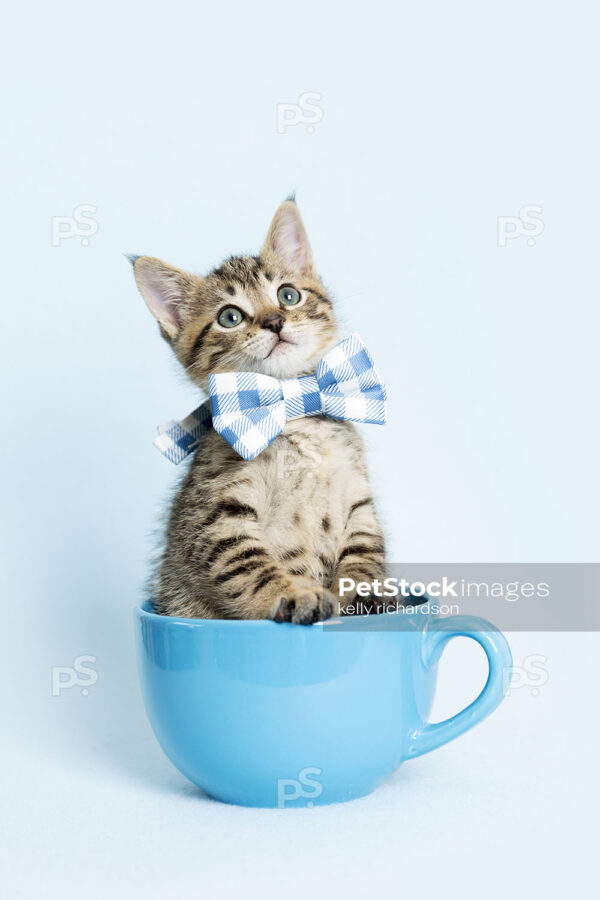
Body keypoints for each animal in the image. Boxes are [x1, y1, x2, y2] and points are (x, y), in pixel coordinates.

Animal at [132, 198, 384, 624]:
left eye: (288, 295)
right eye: (230, 317)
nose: (275, 320)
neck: (292, 407)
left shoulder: (357, 497)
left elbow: (366, 548)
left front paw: (366, 592)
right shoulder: (216, 516)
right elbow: (248, 566)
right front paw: (296, 594)